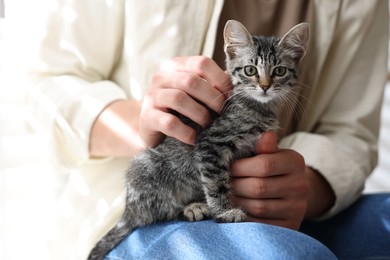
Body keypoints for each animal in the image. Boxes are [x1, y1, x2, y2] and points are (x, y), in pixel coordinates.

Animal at [87, 19, 308, 258]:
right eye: (250, 70)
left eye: (279, 70)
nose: (265, 86)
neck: (256, 107)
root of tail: (128, 210)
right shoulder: (210, 144)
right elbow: (216, 182)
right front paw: (224, 212)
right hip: (144, 167)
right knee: (156, 213)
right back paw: (191, 208)